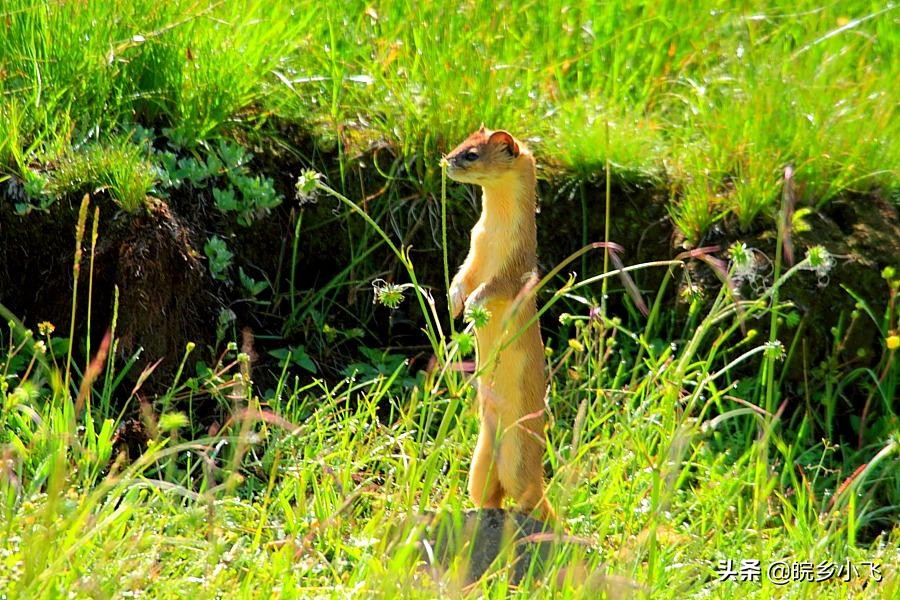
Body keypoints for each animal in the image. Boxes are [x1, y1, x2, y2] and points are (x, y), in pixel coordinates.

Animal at [444, 125, 556, 520]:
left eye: (471, 154)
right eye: (460, 144)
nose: (445, 160)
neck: (492, 235)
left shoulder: (514, 268)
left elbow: (493, 288)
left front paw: (473, 306)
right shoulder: (473, 250)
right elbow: (462, 276)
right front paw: (455, 301)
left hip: (517, 456)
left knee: (526, 495)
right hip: (480, 457)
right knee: (487, 491)